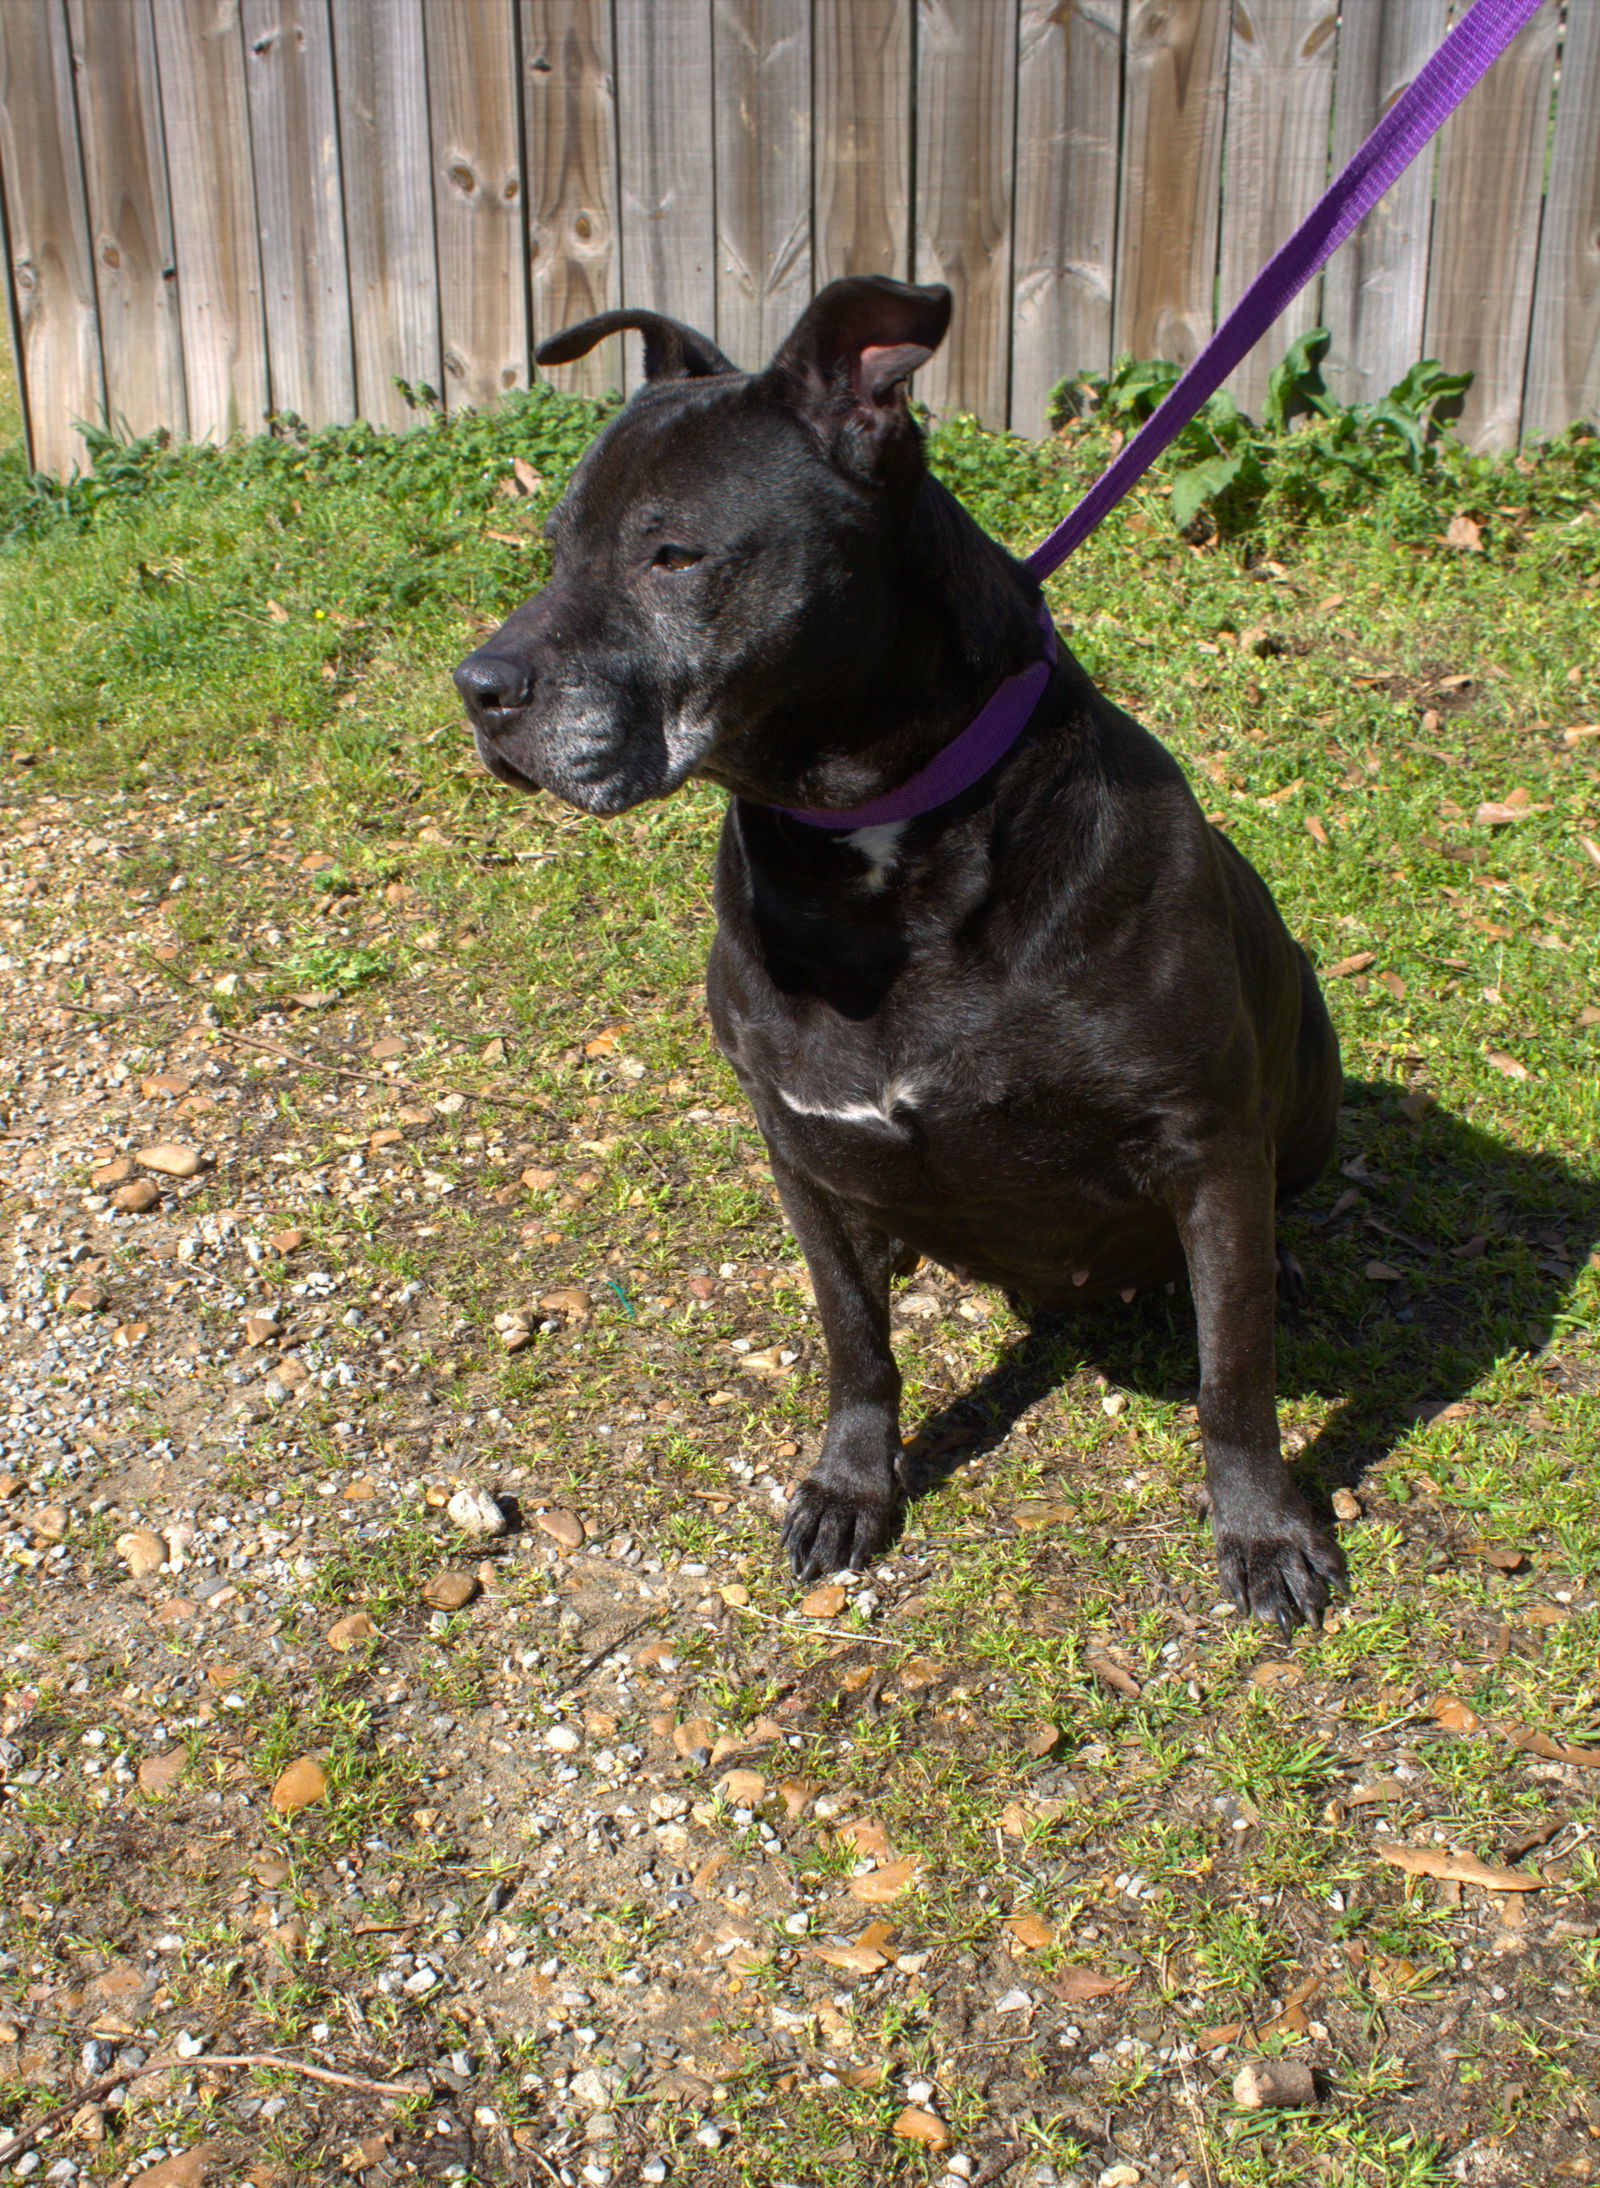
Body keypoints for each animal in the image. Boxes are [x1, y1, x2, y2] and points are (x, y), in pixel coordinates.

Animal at [457, 273, 1348, 1636]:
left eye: (673, 554)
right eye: (557, 547)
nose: (479, 687)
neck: (874, 853)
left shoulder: (1201, 1145)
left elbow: (1231, 1374)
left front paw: (1263, 1529)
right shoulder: (801, 1153)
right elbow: (854, 1344)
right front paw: (851, 1484)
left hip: (1307, 1047)